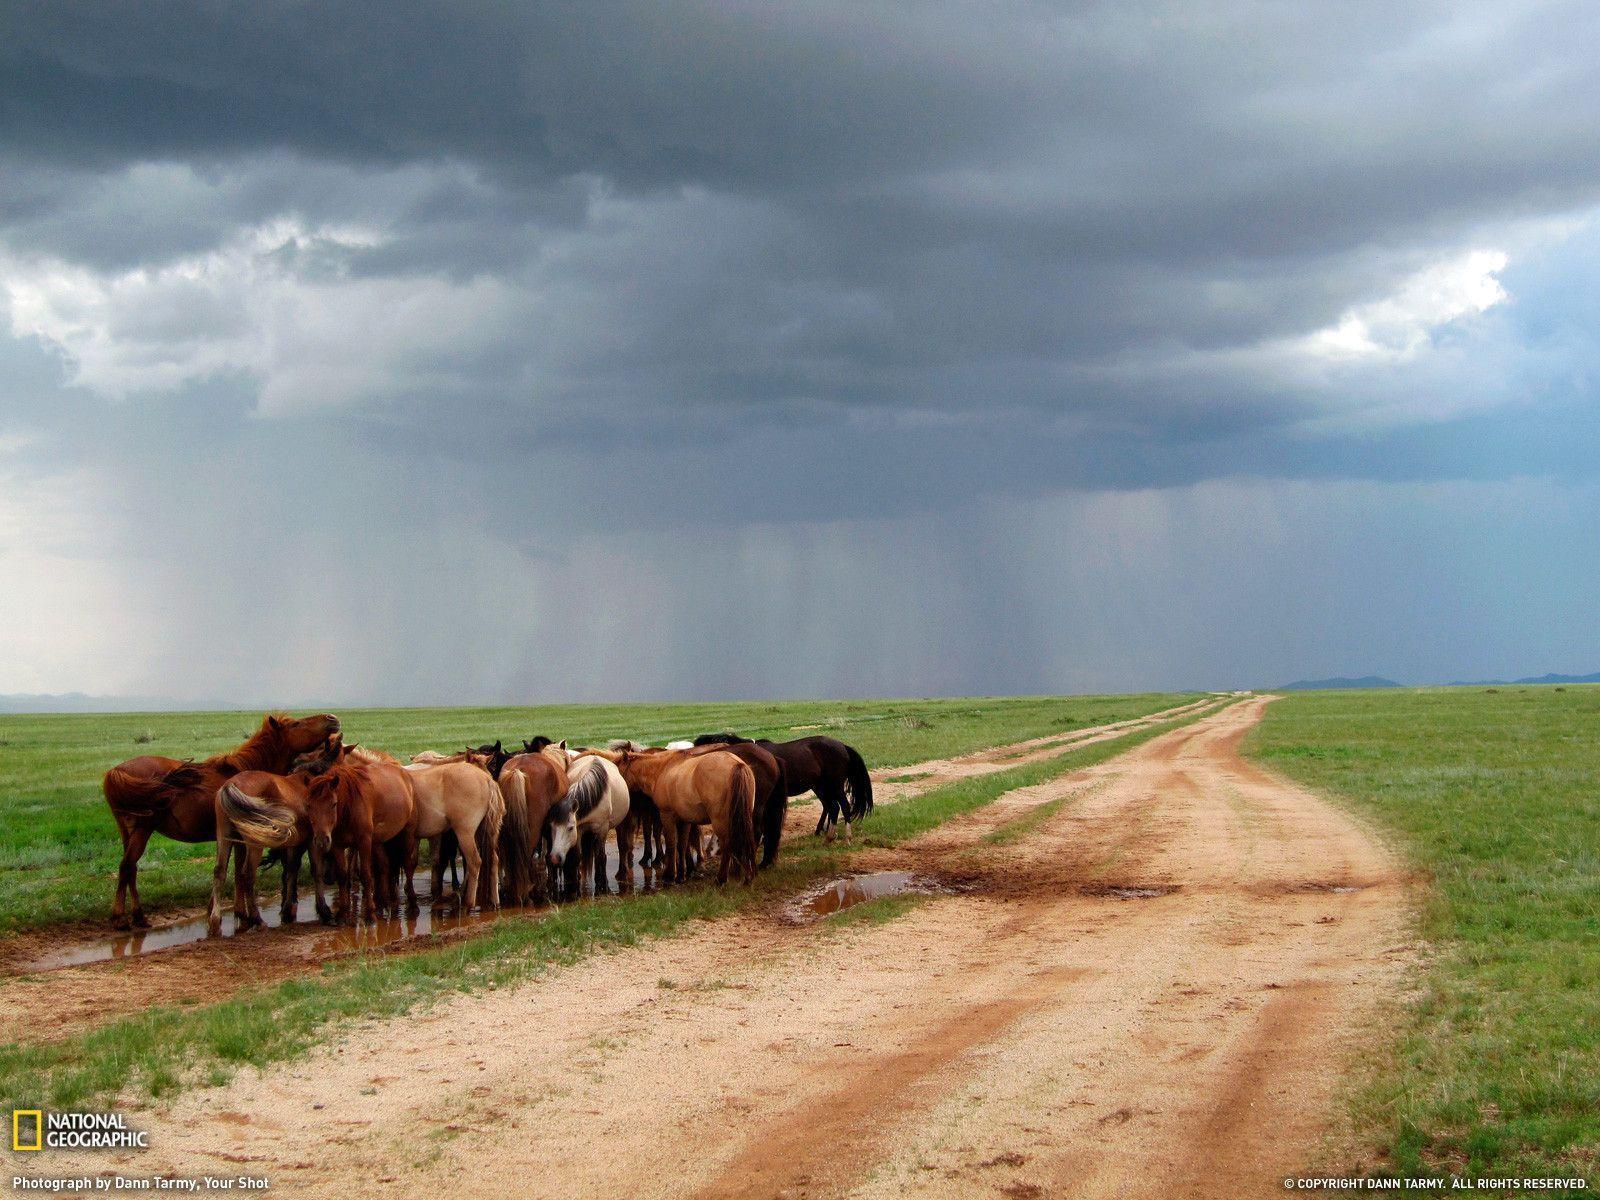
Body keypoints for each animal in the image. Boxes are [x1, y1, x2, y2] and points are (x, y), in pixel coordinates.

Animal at [100, 713, 340, 928]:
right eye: (296, 724)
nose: (332, 718)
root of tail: (115, 772)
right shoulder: (242, 838)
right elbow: (241, 874)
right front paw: (243, 915)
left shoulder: (232, 838)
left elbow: (231, 872)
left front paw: (229, 912)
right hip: (142, 830)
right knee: (126, 866)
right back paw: (120, 918)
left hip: (128, 832)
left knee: (130, 869)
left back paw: (139, 916)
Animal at [305, 755, 416, 928]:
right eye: (309, 805)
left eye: (333, 804)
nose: (321, 840)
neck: (349, 807)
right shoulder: (337, 846)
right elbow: (342, 876)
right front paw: (342, 914)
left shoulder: (364, 842)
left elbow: (365, 875)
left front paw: (369, 915)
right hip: (378, 842)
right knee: (384, 866)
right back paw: (383, 904)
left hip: (406, 834)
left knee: (408, 865)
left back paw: (411, 904)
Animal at [614, 748, 758, 889]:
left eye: (618, 770)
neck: (662, 769)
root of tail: (737, 764)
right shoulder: (685, 820)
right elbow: (682, 846)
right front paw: (681, 876)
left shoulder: (667, 815)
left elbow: (671, 844)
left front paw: (670, 876)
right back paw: (747, 877)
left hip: (720, 821)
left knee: (727, 844)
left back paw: (721, 879)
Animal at [694, 732, 876, 844]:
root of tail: (842, 746)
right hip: (822, 786)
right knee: (832, 807)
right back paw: (828, 837)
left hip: (834, 785)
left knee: (843, 806)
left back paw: (847, 838)